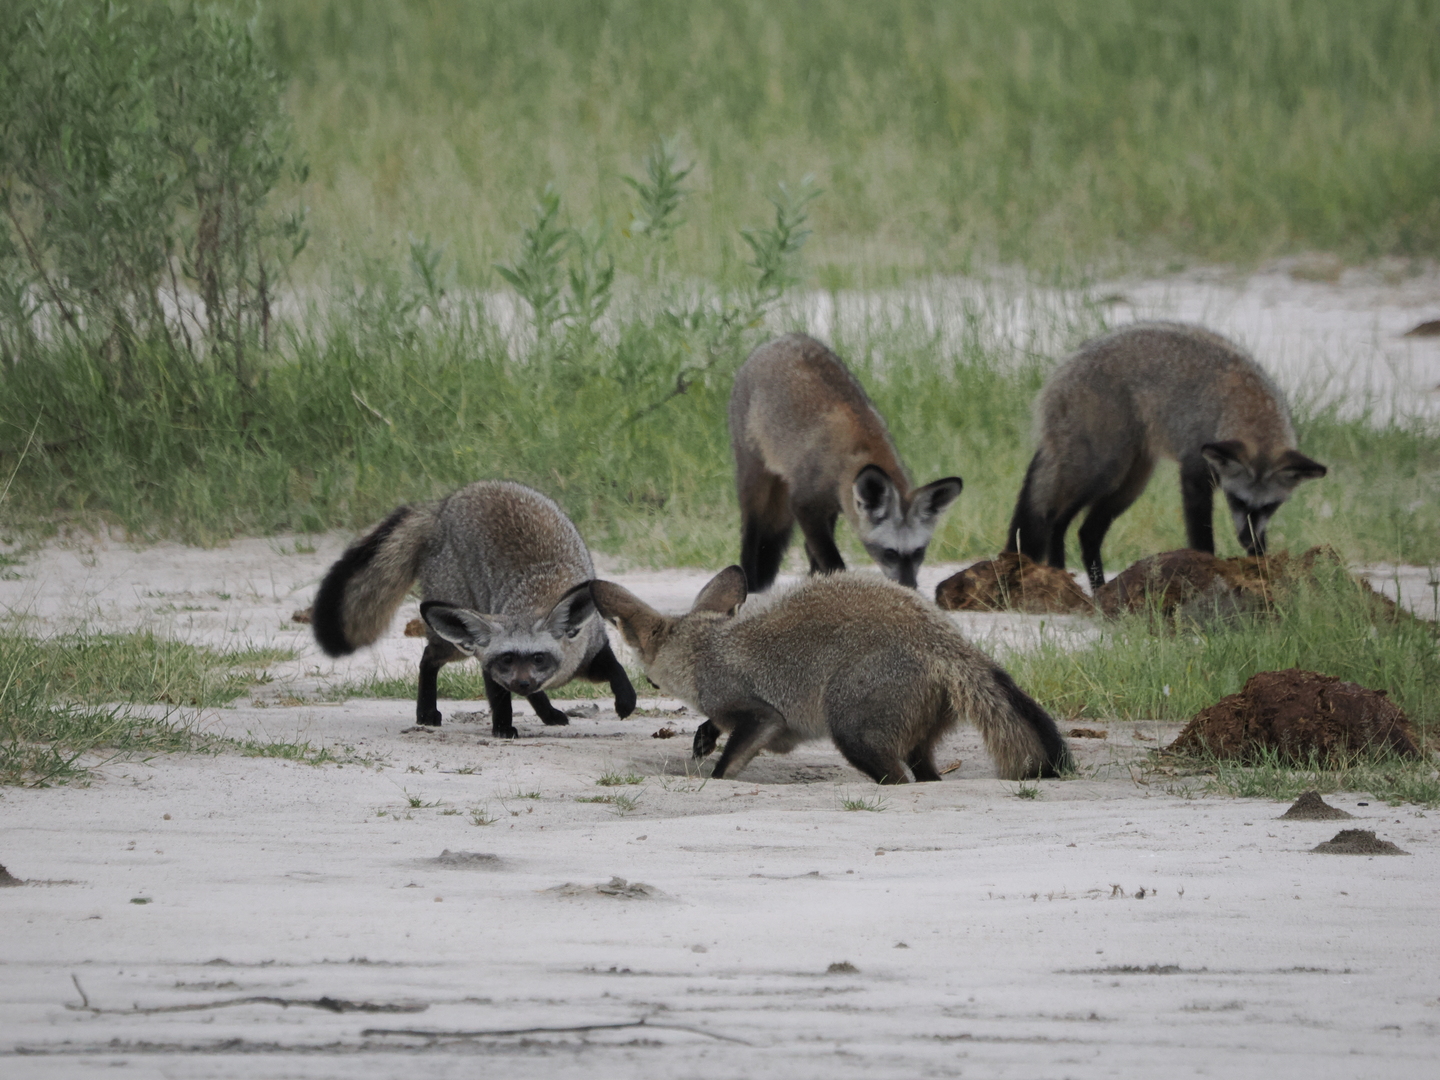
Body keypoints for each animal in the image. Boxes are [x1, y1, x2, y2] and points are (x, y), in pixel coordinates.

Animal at [315, 480, 636, 737]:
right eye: (507, 658)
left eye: (539, 658)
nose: (522, 682)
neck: (541, 592)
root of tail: (441, 508)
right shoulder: (489, 663)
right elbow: (500, 700)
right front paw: (503, 727)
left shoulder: (589, 650)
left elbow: (616, 669)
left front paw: (626, 699)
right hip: (455, 644)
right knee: (428, 658)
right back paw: (426, 712)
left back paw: (547, 713)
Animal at [584, 567, 1071, 789]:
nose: (645, 685)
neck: (708, 650)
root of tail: (945, 640)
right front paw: (705, 734)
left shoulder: (765, 717)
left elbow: (728, 765)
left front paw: (715, 766)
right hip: (916, 748)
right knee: (926, 779)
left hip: (854, 735)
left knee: (896, 780)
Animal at [725, 336, 961, 593]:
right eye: (890, 553)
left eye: (918, 552)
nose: (909, 587)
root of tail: (779, 339)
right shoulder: (804, 505)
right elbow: (832, 560)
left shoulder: (829, 508)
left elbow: (817, 555)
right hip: (754, 482)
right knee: (751, 533)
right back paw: (749, 581)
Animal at [1002, 321, 1324, 593]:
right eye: (1237, 501)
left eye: (1270, 506)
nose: (1247, 540)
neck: (1243, 403)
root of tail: (1066, 365)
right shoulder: (1195, 473)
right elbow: (1201, 538)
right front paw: (1208, 571)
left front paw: (1259, 565)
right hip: (1102, 472)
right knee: (1055, 520)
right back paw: (1060, 573)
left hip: (1131, 484)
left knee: (1087, 532)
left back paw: (1099, 591)